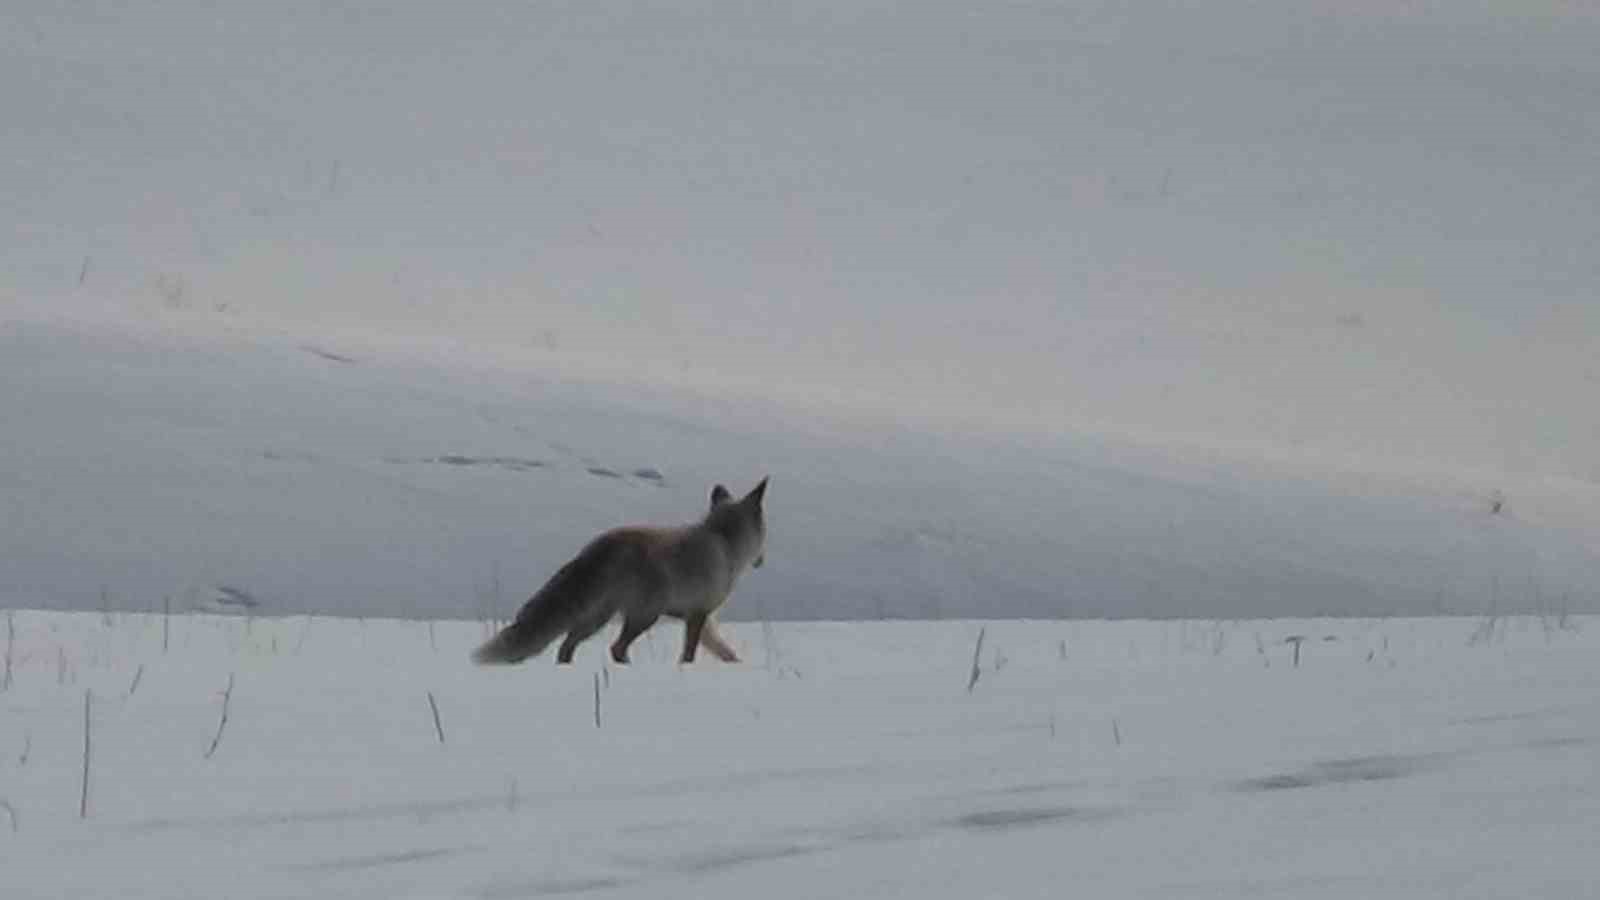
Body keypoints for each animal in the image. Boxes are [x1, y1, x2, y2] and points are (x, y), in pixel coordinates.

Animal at [467, 477, 768, 666]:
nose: (761, 561)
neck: (724, 542)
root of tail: (603, 544)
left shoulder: (701, 619)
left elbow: (722, 651)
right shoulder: (698, 613)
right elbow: (689, 654)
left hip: (597, 618)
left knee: (566, 646)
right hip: (643, 616)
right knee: (615, 648)